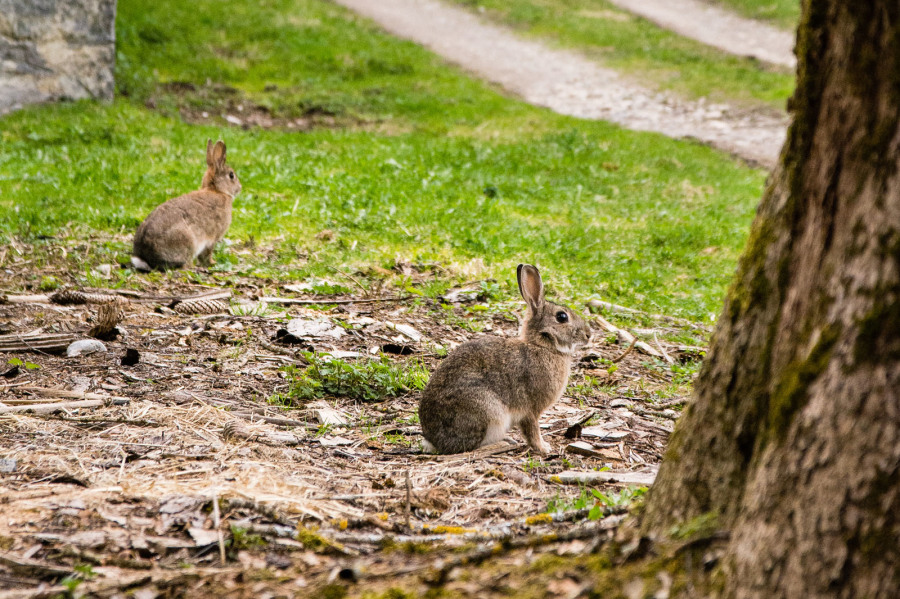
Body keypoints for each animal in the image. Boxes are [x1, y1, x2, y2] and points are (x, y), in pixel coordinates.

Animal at [131, 139, 241, 270]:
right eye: (231, 175)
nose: (240, 188)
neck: (218, 190)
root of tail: (145, 256)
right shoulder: (211, 238)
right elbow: (207, 253)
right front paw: (212, 263)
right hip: (188, 242)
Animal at [420, 264, 592, 454]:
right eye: (562, 317)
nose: (588, 334)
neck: (542, 346)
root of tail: (434, 441)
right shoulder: (531, 409)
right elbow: (532, 429)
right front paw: (543, 448)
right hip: (489, 412)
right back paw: (504, 443)